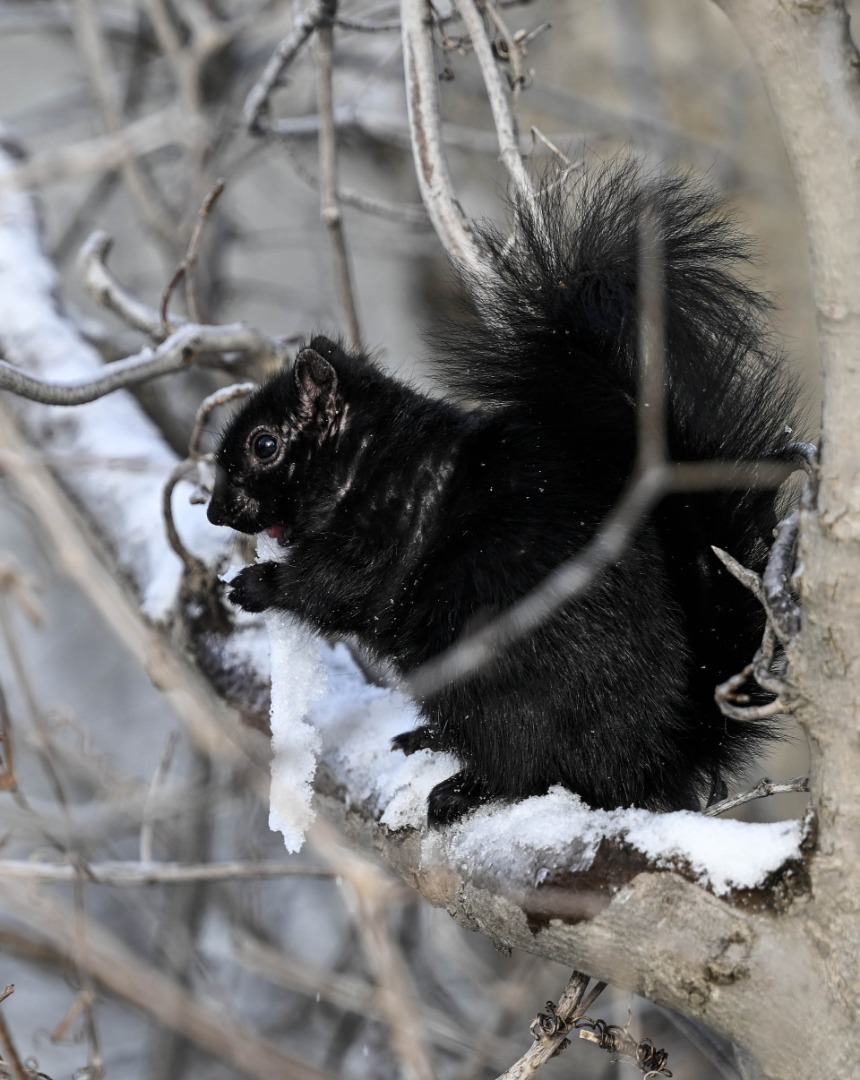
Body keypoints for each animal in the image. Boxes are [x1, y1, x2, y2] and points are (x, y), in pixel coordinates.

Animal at [206, 154, 799, 825]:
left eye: (264, 445)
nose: (215, 511)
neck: (369, 459)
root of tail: (664, 750)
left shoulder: (388, 533)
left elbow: (339, 586)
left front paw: (257, 585)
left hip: (497, 680)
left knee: (528, 766)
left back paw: (466, 788)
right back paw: (427, 739)